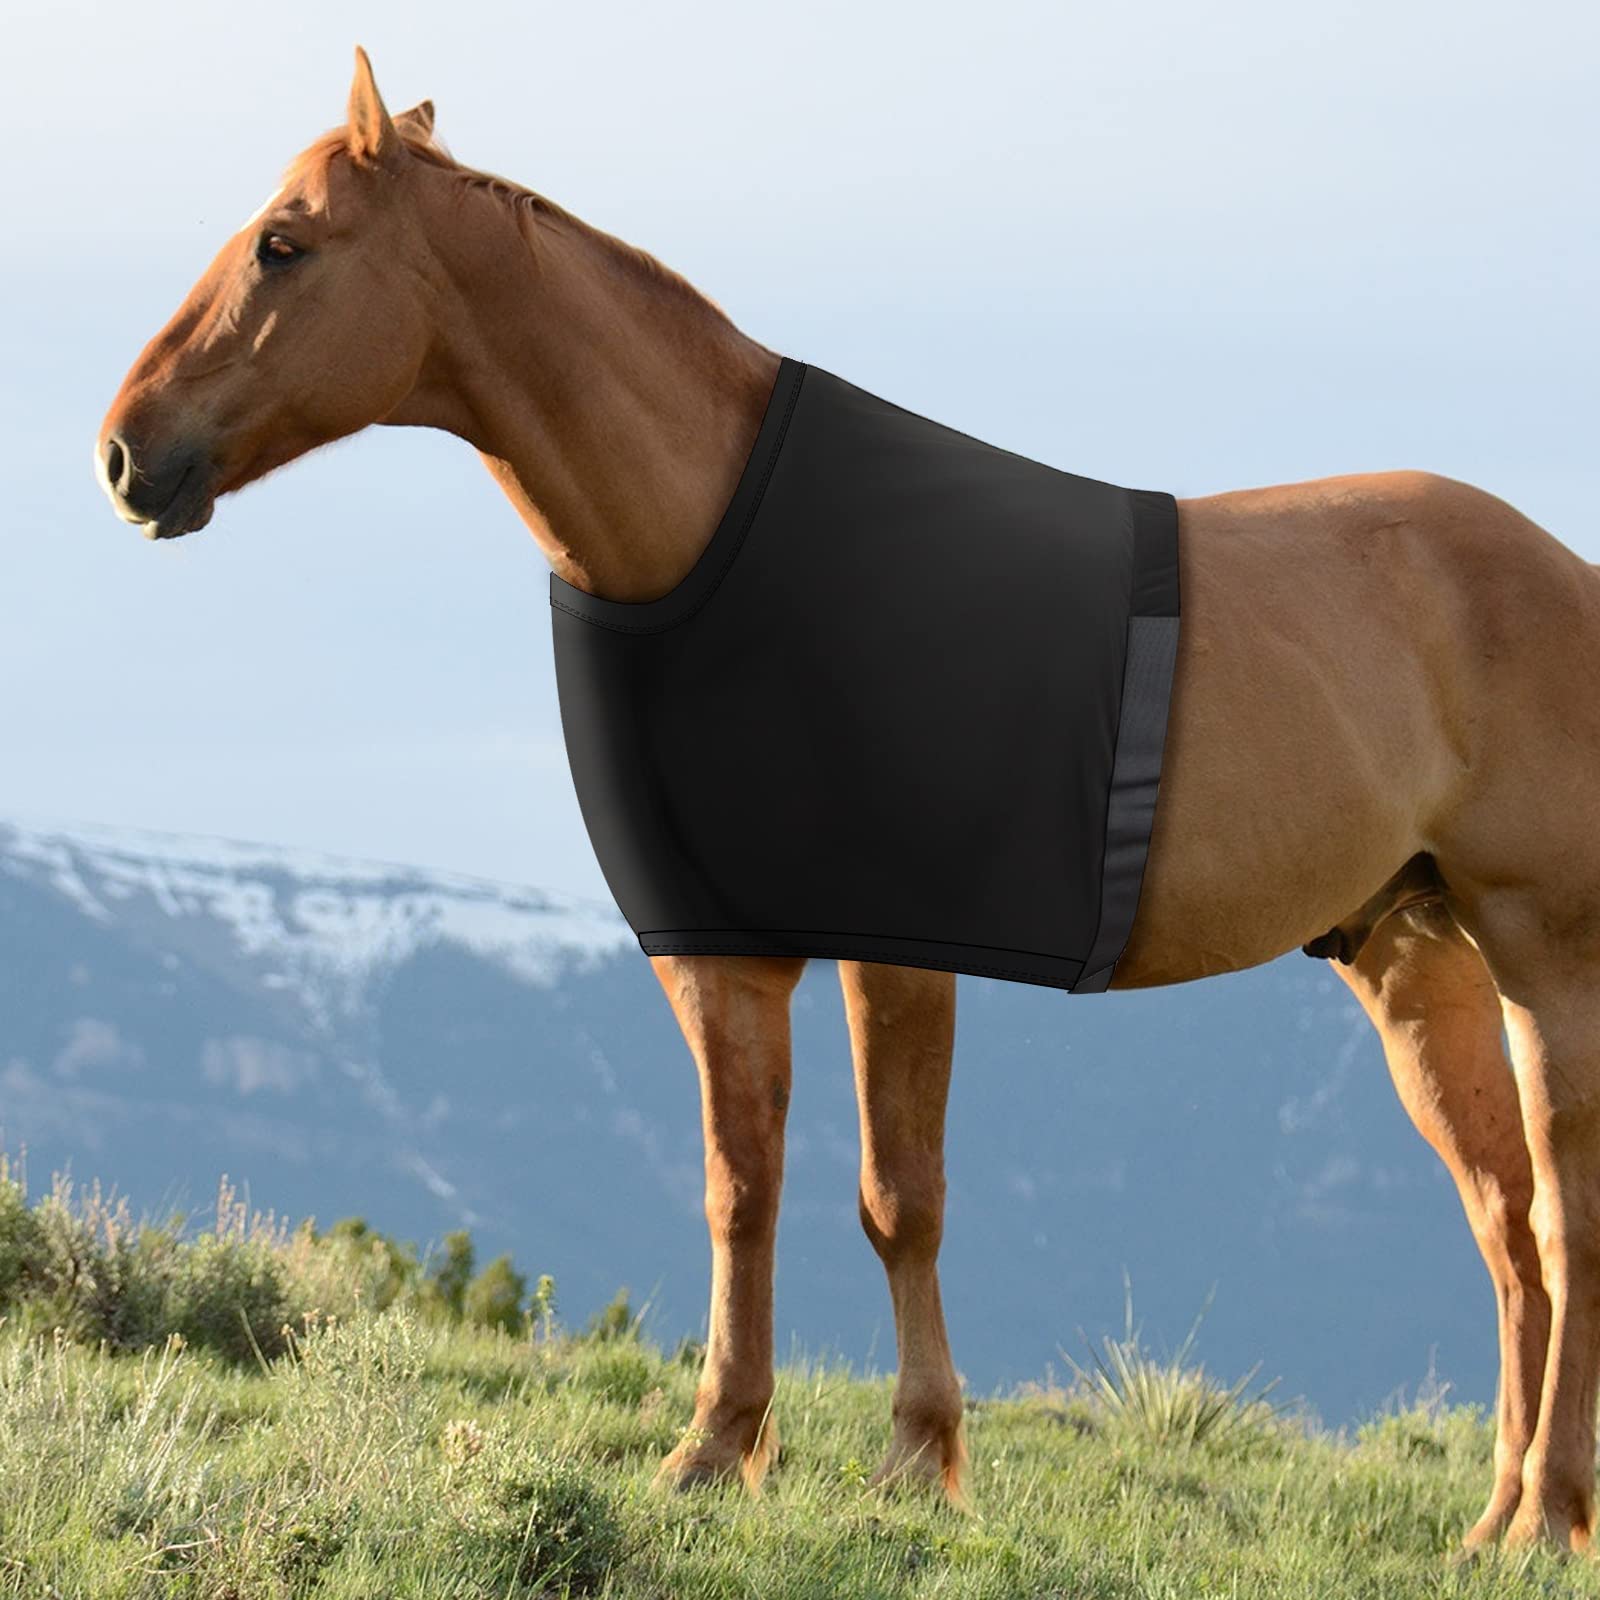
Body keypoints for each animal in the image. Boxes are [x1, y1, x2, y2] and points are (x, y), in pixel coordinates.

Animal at [94, 47, 1600, 1553]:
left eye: (284, 243)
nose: (123, 453)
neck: (717, 538)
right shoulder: (720, 954)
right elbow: (740, 1188)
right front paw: (717, 1446)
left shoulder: (899, 949)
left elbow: (899, 1199)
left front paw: (917, 1456)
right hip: (1417, 963)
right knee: (1507, 1229)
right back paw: (1494, 1519)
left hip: (1543, 955)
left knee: (1564, 1216)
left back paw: (1545, 1516)